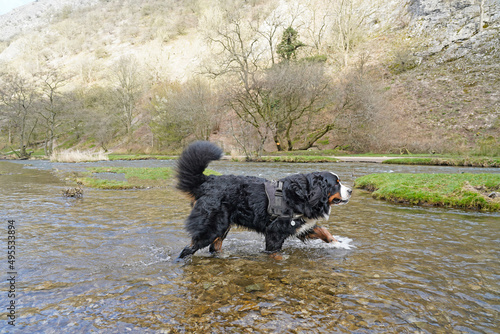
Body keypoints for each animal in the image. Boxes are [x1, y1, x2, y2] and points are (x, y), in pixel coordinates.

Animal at [176, 141, 352, 258]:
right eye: (336, 184)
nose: (350, 190)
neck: (304, 195)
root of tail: (208, 180)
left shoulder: (300, 224)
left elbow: (323, 231)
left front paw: (338, 243)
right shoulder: (275, 231)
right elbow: (274, 252)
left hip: (222, 226)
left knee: (215, 247)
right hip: (211, 227)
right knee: (189, 248)